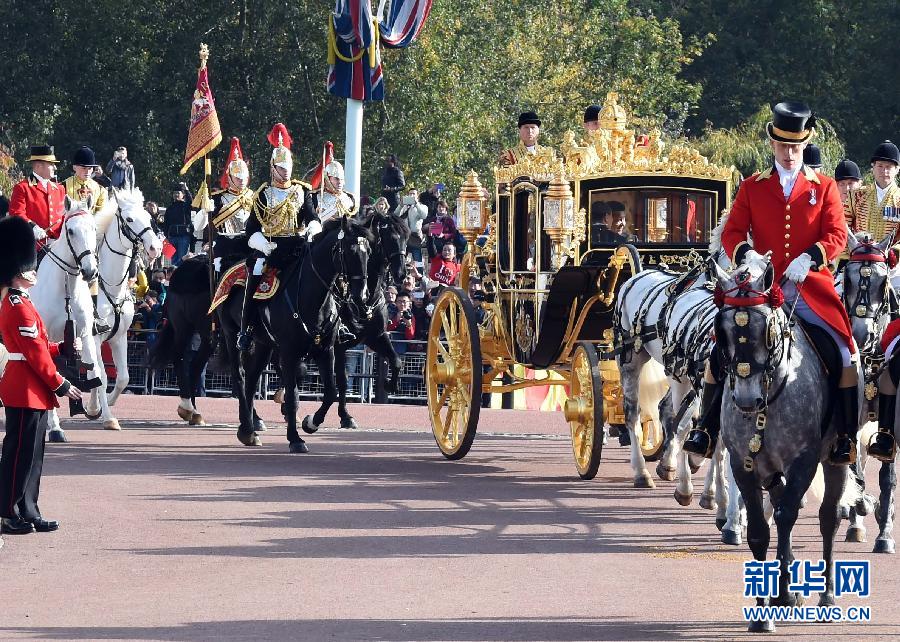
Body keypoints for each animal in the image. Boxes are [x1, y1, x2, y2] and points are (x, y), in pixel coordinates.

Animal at [28, 195, 107, 436]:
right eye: (70, 231)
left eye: (93, 228)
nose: (90, 271)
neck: (65, 288)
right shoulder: (43, 336)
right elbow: (50, 373)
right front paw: (54, 427)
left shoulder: (84, 334)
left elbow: (94, 370)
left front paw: (94, 408)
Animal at [92, 189, 163, 410]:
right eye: (129, 219)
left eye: (149, 217)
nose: (155, 248)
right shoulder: (95, 337)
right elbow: (101, 375)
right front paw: (100, 409)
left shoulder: (120, 336)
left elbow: (123, 377)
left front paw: (102, 404)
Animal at [320, 211, 408, 430]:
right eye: (390, 237)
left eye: (406, 236)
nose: (401, 273)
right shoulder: (338, 345)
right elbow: (342, 380)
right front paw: (345, 415)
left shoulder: (376, 337)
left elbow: (396, 360)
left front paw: (390, 384)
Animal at [716, 258, 856, 632]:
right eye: (723, 331)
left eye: (766, 330)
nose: (746, 401)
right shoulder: (743, 465)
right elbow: (760, 531)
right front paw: (765, 610)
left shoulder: (803, 462)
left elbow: (787, 515)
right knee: (779, 506)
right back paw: (787, 590)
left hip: (835, 459)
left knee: (827, 517)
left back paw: (827, 595)